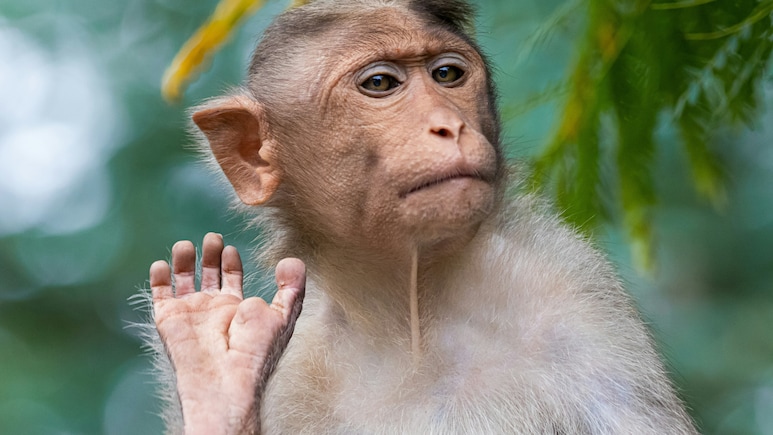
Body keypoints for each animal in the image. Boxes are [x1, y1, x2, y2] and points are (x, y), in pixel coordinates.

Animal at [145, 0, 698, 433]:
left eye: (447, 75)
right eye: (380, 83)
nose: (449, 125)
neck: (408, 313)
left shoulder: (573, 298)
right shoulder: (296, 370)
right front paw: (213, 369)